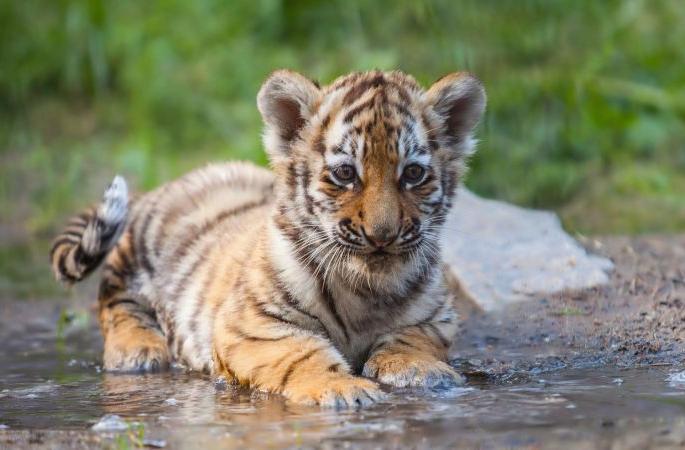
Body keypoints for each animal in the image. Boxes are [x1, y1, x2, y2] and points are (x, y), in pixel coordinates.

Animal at [50, 69, 486, 408]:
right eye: (345, 173)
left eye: (413, 174)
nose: (382, 235)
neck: (366, 287)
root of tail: (172, 182)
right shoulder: (253, 325)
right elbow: (301, 354)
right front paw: (343, 389)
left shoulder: (436, 317)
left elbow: (412, 338)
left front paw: (422, 371)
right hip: (136, 254)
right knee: (114, 299)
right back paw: (137, 350)